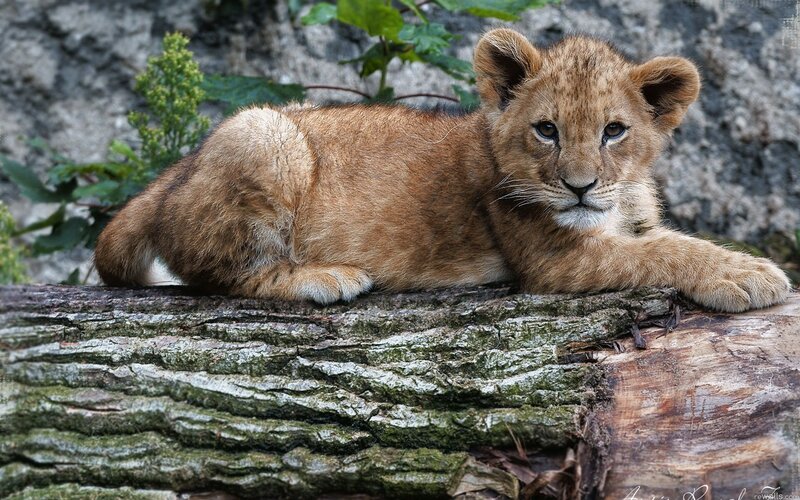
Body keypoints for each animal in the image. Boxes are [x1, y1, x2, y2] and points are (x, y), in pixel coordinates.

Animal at [94, 29, 791, 312]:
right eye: (547, 130)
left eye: (614, 131)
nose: (579, 187)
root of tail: (178, 172)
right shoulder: (554, 262)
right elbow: (666, 252)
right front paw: (750, 274)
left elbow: (667, 239)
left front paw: (739, 264)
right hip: (264, 134)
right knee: (220, 273)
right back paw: (324, 277)